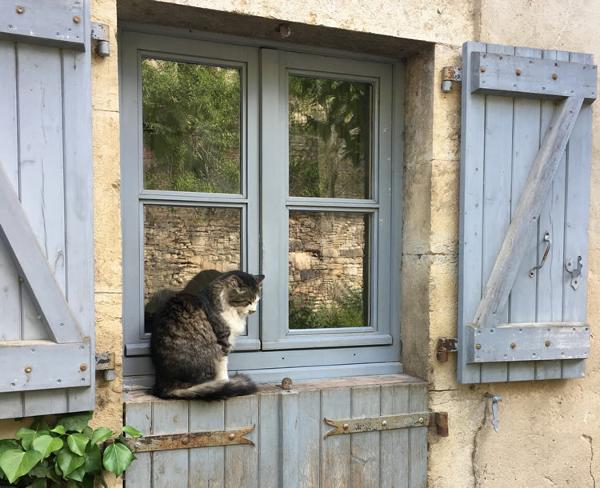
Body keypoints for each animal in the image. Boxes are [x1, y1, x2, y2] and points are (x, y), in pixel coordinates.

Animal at [149, 270, 262, 400]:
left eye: (257, 301)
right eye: (248, 301)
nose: (253, 311)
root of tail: (164, 384)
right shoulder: (223, 341)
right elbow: (223, 365)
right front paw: (225, 382)